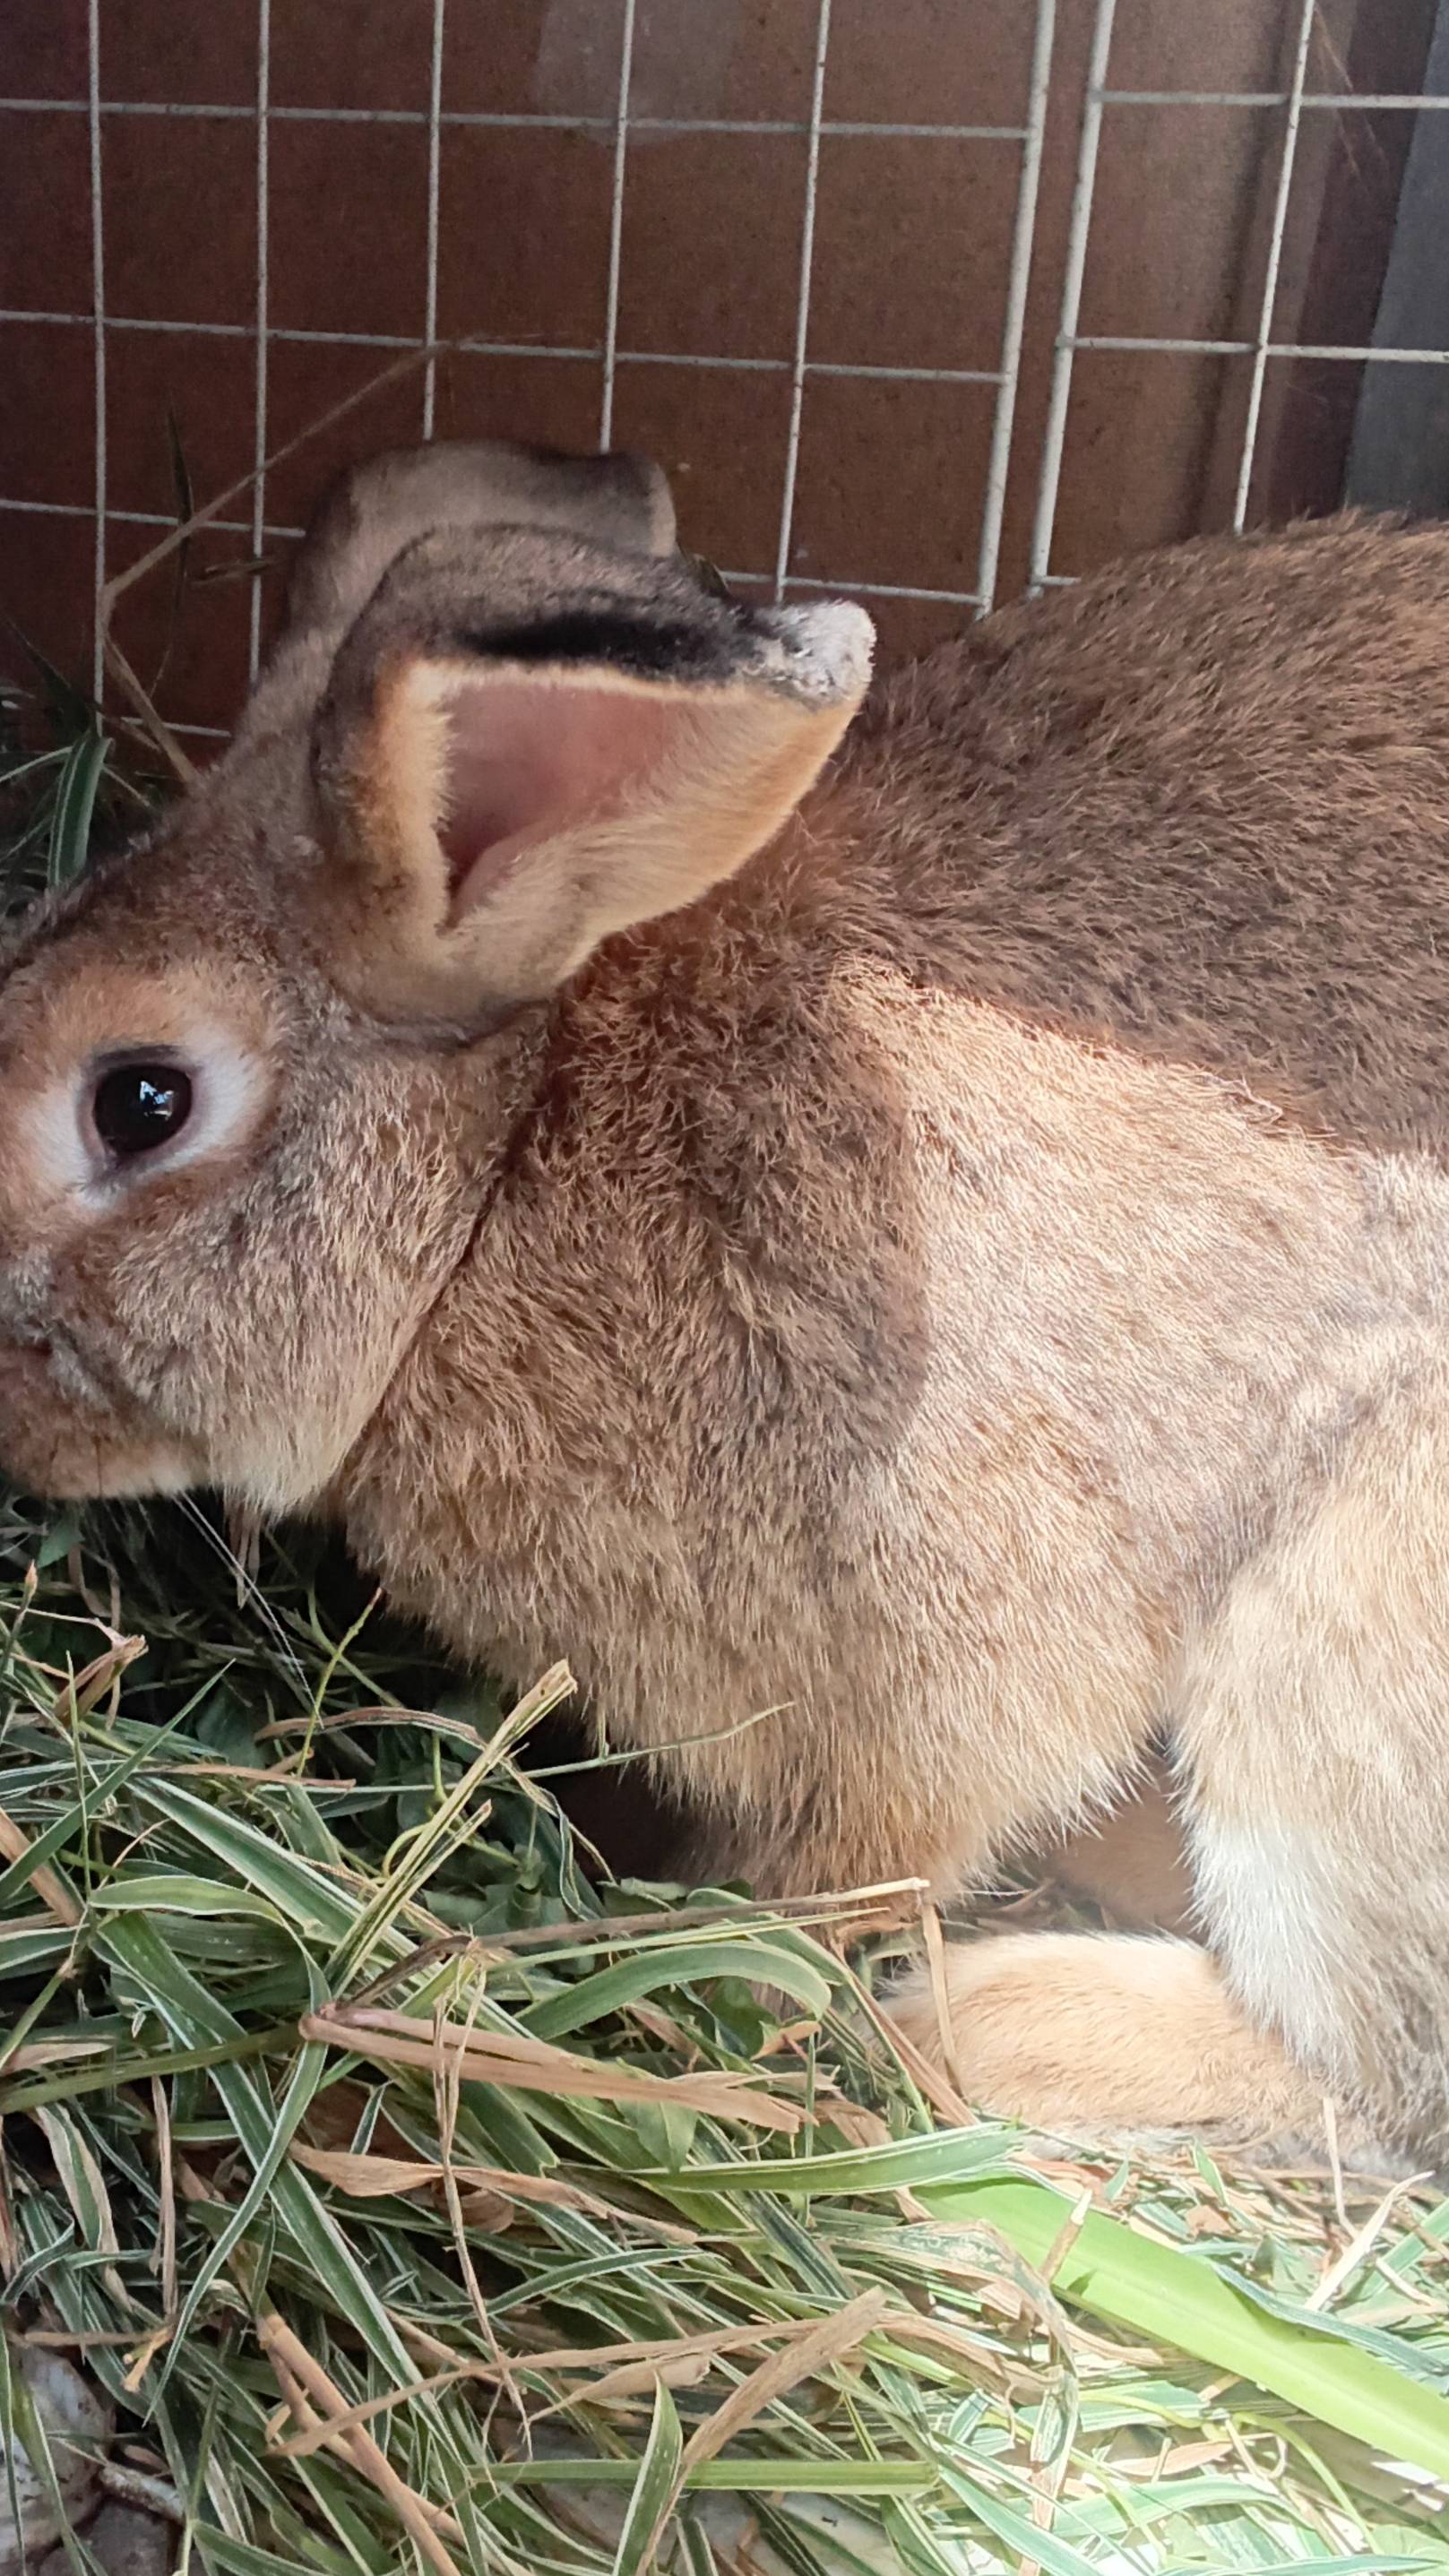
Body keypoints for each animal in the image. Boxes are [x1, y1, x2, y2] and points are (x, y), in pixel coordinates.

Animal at [7, 440, 1449, 2162]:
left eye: (140, 1101)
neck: (491, 1190)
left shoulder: (932, 1678)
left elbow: (853, 1867)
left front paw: (702, 1974)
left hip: (1344, 1651)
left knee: (1367, 2068)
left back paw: (975, 2023)